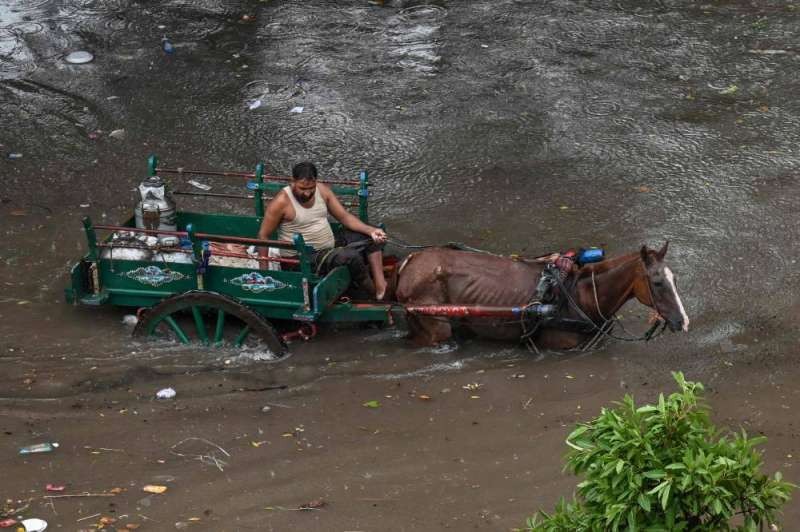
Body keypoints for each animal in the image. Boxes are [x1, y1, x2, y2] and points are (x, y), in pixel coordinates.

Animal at [394, 241, 688, 350]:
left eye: (675, 279)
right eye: (658, 282)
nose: (683, 321)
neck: (582, 297)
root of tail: (408, 262)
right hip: (434, 325)